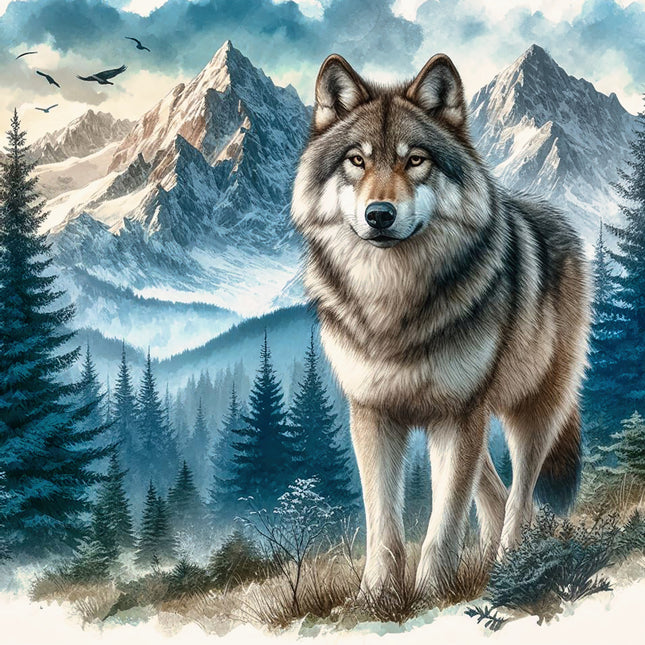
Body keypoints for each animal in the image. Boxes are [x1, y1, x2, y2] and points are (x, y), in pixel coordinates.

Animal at [291, 53, 591, 595]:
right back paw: (492, 561)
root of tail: (556, 216)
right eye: (357, 161)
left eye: (415, 160)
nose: (379, 214)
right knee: (493, 489)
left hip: (530, 410)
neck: (393, 302)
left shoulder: (456, 416)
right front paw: (377, 596)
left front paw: (432, 593)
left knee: (520, 495)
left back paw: (514, 562)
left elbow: (444, 519)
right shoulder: (373, 414)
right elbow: (383, 523)